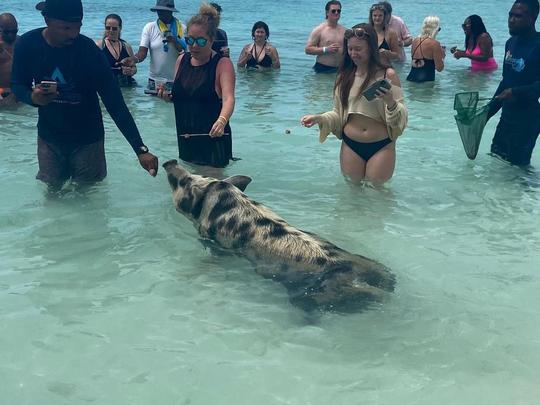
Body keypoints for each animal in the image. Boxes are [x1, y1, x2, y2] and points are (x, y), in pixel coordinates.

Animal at [162, 159, 394, 310]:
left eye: (183, 182)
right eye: (195, 176)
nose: (169, 162)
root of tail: (359, 277)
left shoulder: (215, 244)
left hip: (312, 296)